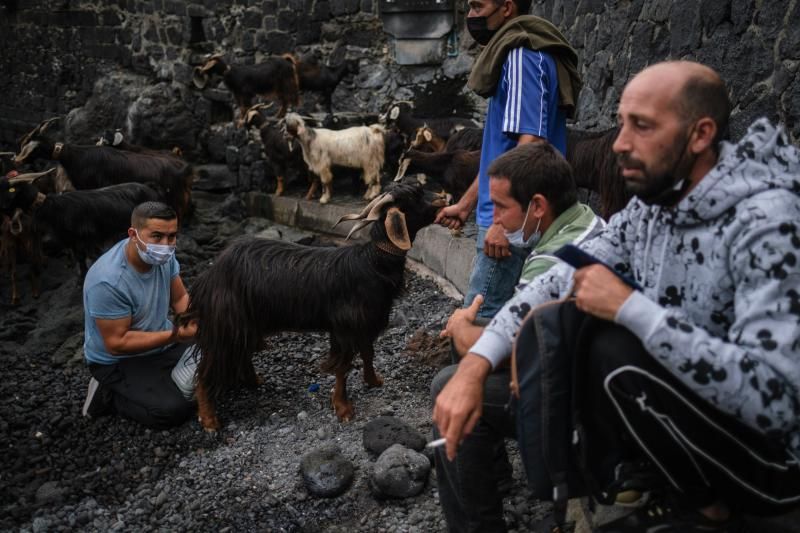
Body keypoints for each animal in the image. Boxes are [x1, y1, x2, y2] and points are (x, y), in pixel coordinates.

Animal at [185, 181, 454, 430]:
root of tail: (209, 275)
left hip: (247, 321)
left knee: (242, 351)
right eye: (414, 196)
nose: (443, 197)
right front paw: (343, 408)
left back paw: (253, 381)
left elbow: (368, 353)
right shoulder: (345, 327)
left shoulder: (366, 323)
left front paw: (373, 381)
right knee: (208, 367)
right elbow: (342, 367)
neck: (372, 263)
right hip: (226, 322)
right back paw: (209, 419)